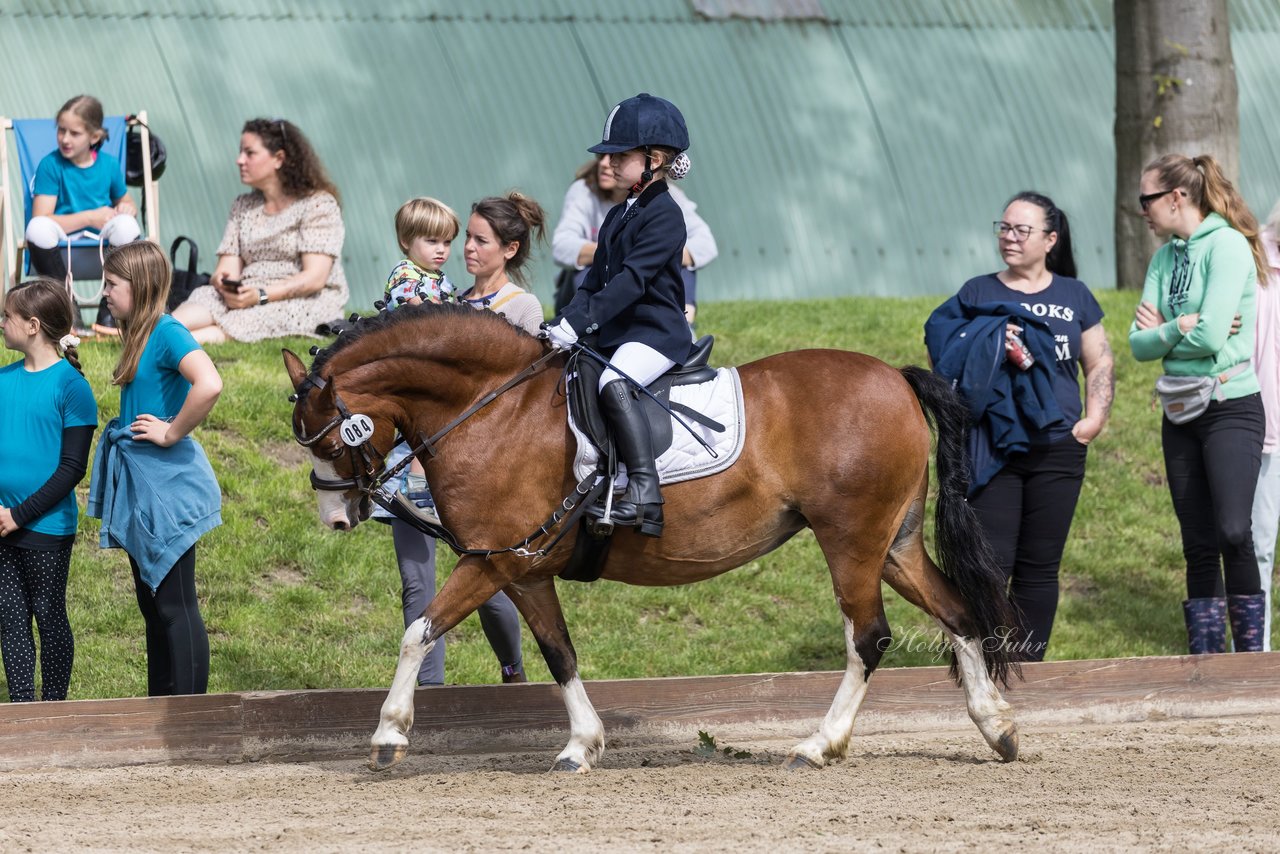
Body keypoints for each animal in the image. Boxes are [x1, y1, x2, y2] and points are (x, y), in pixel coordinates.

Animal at [285, 303, 1024, 773]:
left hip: (851, 540)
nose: (337, 518)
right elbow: (559, 653)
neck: (494, 407)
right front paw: (581, 746)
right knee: (957, 612)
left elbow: (419, 630)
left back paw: (819, 745)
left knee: (869, 638)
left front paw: (388, 734)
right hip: (893, 544)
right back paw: (998, 728)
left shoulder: (493, 561)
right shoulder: (523, 567)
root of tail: (895, 375)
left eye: (330, 438)